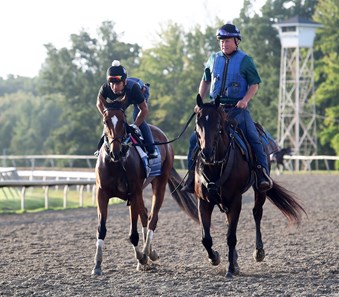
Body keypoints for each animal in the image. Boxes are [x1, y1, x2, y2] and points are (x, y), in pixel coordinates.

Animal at [93, 104, 199, 276]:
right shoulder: (102, 194)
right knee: (145, 215)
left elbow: (133, 233)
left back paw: (148, 253)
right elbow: (101, 229)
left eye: (123, 121)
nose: (116, 150)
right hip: (141, 191)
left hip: (159, 183)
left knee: (152, 218)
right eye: (105, 121)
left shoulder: (133, 193)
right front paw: (97, 265)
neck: (117, 164)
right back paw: (146, 255)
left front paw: (142, 257)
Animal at [193, 95, 306, 278]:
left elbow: (231, 236)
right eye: (198, 122)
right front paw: (214, 257)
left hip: (260, 189)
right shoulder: (203, 201)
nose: (207, 153)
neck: (215, 166)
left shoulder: (236, 200)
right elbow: (206, 238)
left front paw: (230, 269)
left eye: (218, 124)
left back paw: (258, 252)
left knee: (257, 213)